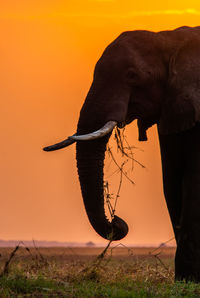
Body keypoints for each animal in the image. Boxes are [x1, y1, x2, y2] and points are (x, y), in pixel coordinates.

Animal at [43, 25, 200, 282]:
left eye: (132, 75)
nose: (117, 221)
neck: (169, 38)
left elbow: (193, 183)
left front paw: (190, 280)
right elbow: (171, 182)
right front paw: (184, 280)